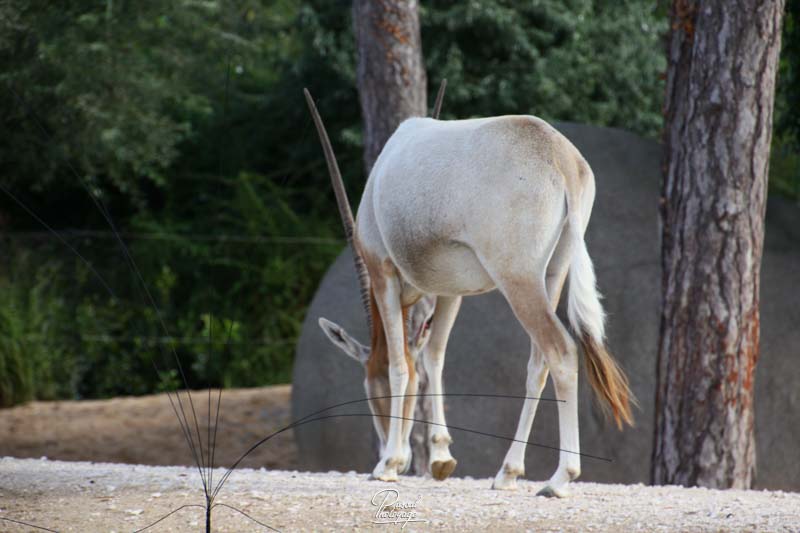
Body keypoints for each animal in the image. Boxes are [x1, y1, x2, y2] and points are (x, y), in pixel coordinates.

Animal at [304, 85, 632, 496]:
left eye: (370, 387)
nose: (402, 458)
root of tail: (562, 160)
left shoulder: (382, 271)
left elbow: (400, 364)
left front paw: (388, 463)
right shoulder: (451, 290)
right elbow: (432, 358)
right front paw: (441, 457)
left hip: (518, 279)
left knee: (560, 352)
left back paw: (559, 479)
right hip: (553, 275)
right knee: (538, 364)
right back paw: (507, 472)